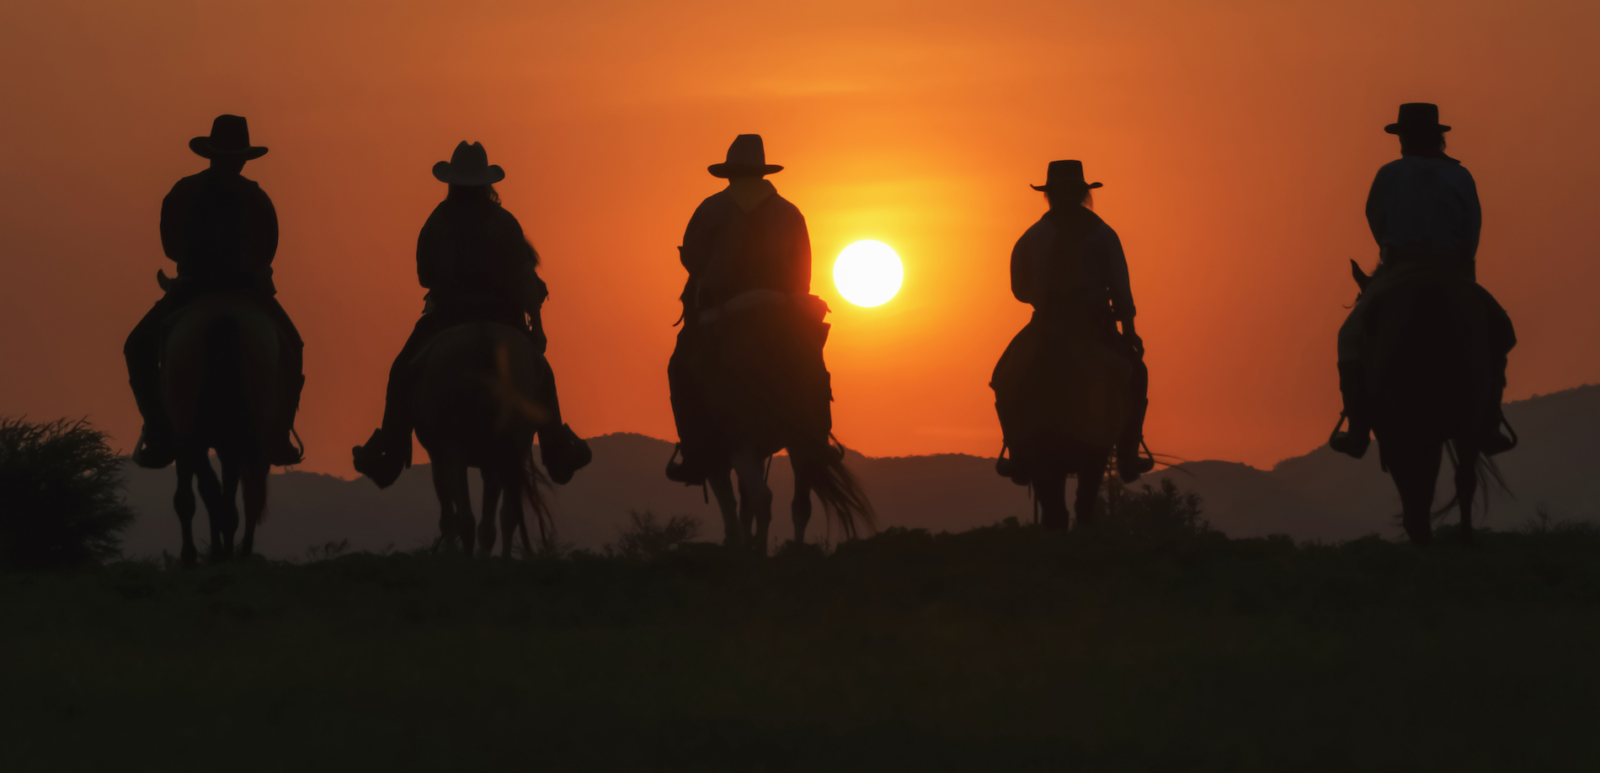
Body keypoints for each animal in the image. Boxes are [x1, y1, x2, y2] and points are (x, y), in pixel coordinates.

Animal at [160, 289, 288, 563]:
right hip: (249, 435)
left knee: (222, 491)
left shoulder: (186, 442)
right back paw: (234, 550)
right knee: (243, 492)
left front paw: (192, 555)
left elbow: (189, 495)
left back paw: (226, 550)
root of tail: (222, 317)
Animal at [409, 320, 553, 556]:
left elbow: (449, 517)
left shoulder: (439, 457)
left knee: (466, 519)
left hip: (455, 449)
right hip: (511, 447)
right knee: (505, 517)